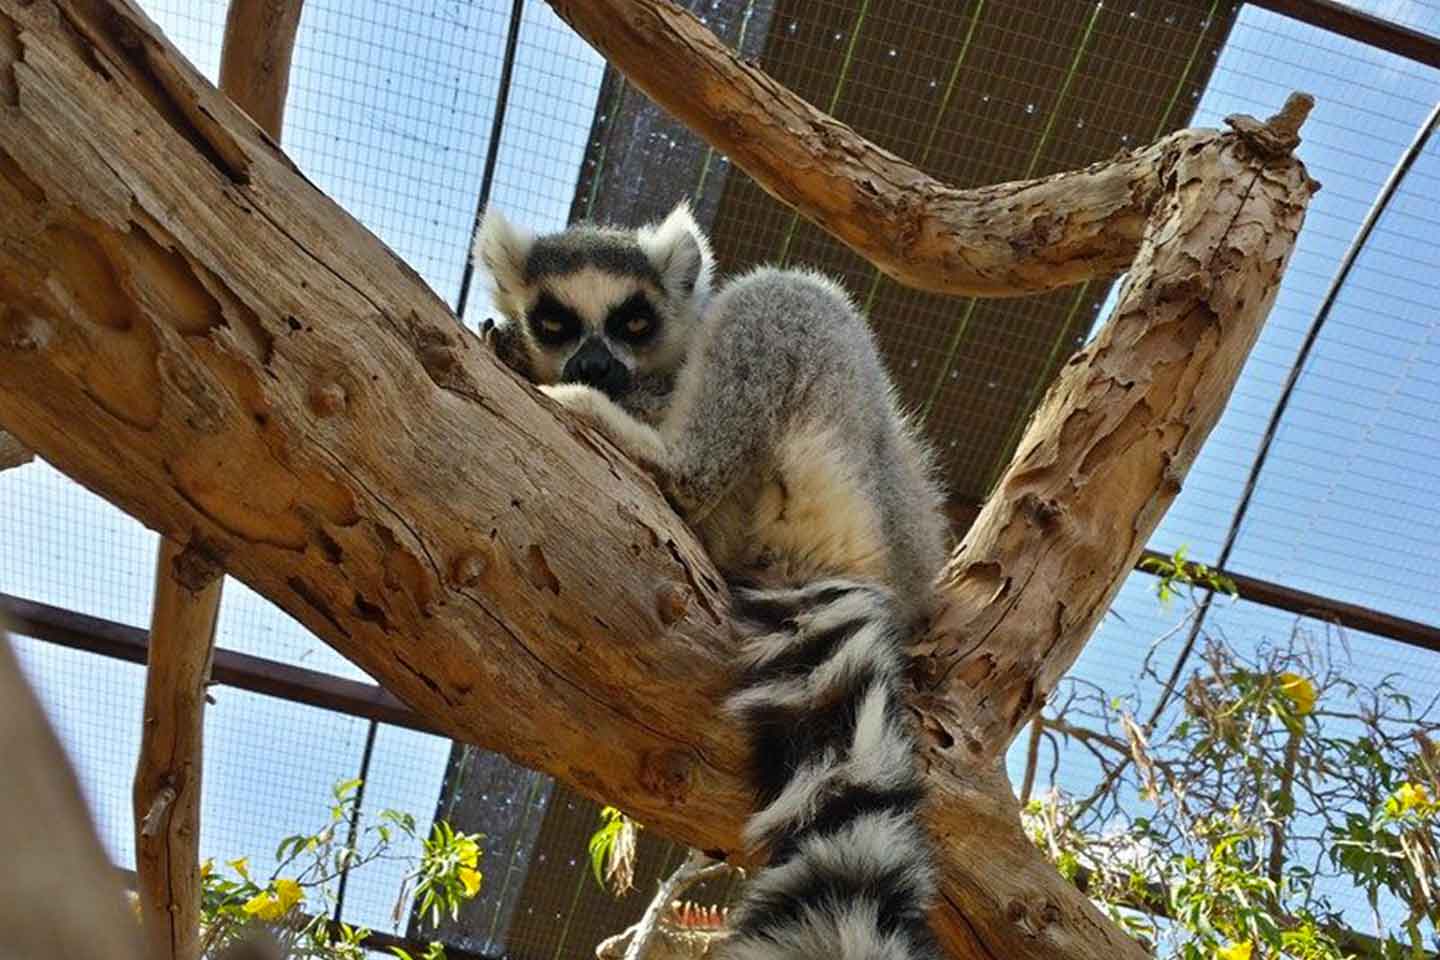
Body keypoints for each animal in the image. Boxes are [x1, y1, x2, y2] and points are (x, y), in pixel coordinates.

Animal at [477, 200, 951, 960]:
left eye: (634, 322)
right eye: (556, 321)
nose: (593, 363)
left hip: (849, 463)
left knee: (787, 298)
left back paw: (655, 453)